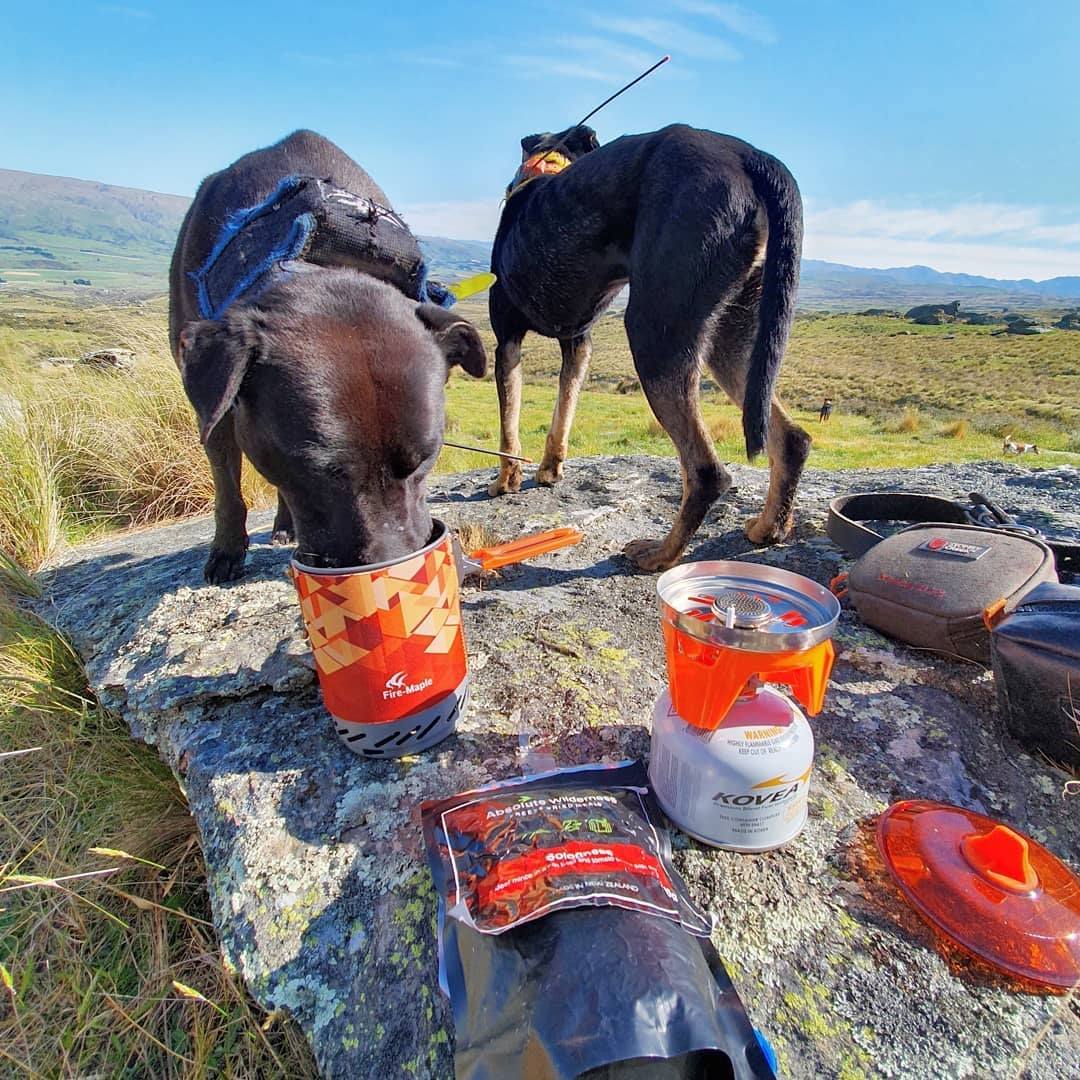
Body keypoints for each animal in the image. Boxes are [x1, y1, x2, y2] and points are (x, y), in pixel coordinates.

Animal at [167, 131, 486, 587]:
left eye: (426, 458)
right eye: (318, 470)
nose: (395, 561)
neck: (315, 259)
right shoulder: (215, 406)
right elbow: (227, 485)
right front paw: (226, 549)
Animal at [490, 122, 812, 570]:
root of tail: (748, 155)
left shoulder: (506, 342)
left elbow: (509, 423)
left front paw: (505, 480)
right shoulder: (579, 343)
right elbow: (563, 410)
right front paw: (550, 469)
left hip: (653, 329)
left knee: (707, 471)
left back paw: (661, 554)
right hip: (734, 331)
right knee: (790, 438)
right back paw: (770, 528)